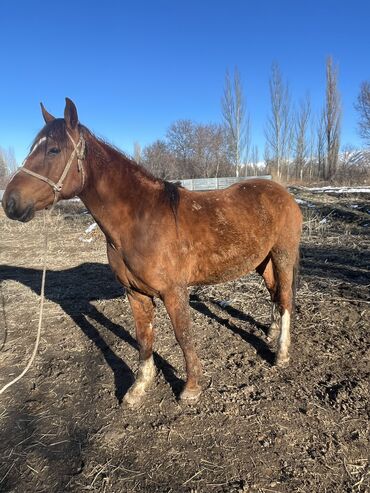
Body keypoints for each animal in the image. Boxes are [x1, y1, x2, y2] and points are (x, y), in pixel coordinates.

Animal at [1, 98, 302, 406]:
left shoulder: (173, 291)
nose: (9, 202)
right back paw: (272, 333)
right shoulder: (135, 293)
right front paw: (139, 387)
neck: (141, 219)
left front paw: (191, 388)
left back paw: (281, 354)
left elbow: (183, 335)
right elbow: (143, 337)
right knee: (275, 294)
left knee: (286, 299)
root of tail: (283, 193)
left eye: (53, 150)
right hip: (262, 261)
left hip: (283, 255)